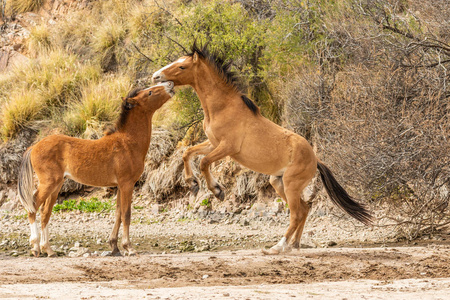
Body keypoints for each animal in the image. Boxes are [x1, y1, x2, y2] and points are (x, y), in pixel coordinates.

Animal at [16, 82, 174, 258]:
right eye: (150, 92)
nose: (170, 84)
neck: (127, 142)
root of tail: (34, 146)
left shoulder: (120, 186)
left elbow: (118, 214)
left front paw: (115, 247)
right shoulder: (127, 184)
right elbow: (126, 215)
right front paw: (129, 247)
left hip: (56, 186)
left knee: (45, 213)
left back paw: (48, 249)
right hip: (48, 183)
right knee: (33, 207)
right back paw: (36, 247)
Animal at [155, 45, 372, 255]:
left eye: (182, 66)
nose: (156, 77)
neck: (223, 108)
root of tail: (316, 160)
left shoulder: (227, 147)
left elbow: (204, 161)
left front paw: (217, 191)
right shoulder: (213, 143)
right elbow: (187, 153)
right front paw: (192, 184)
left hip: (291, 185)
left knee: (296, 214)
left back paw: (277, 247)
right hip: (279, 183)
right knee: (304, 209)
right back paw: (293, 245)